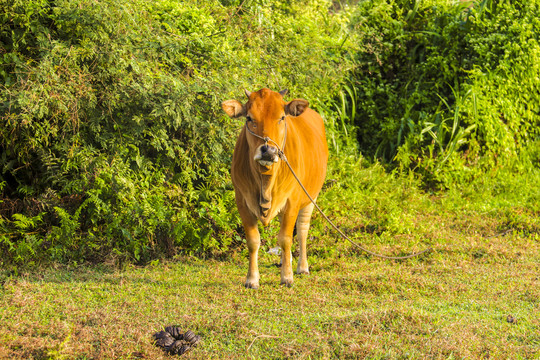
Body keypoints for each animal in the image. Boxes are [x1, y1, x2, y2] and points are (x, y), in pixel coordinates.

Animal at [220, 88, 330, 288]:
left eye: (282, 117)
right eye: (249, 118)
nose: (268, 151)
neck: (265, 180)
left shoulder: (292, 201)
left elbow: (286, 239)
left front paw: (287, 276)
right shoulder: (242, 201)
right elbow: (253, 241)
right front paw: (252, 279)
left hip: (311, 197)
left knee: (302, 230)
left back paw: (302, 266)